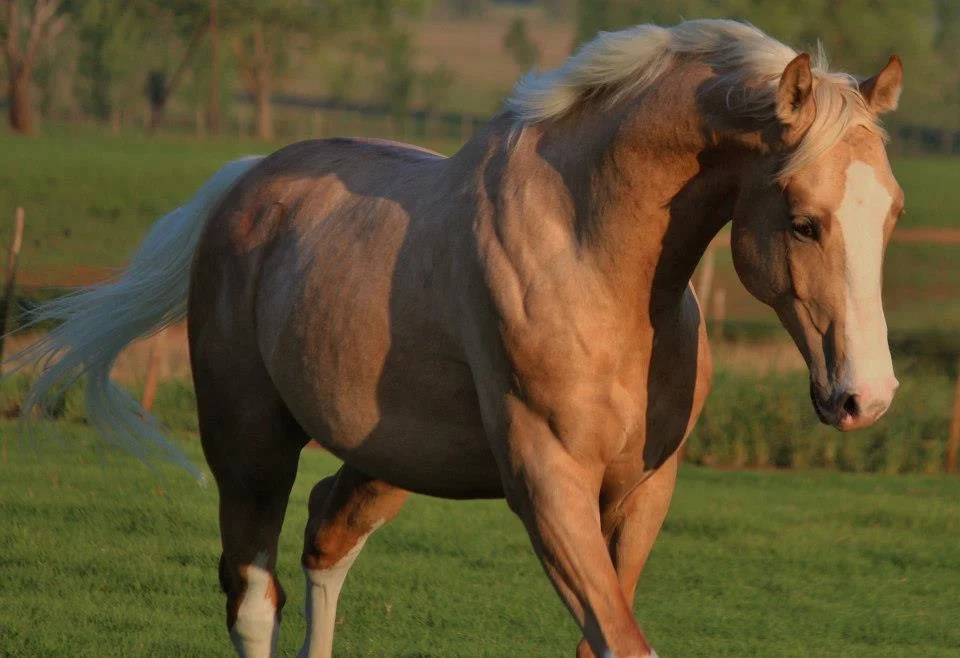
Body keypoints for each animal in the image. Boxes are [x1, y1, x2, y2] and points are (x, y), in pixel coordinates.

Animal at [16, 19, 904, 658]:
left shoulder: (643, 492)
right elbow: (622, 642)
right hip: (250, 448)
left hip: (389, 457)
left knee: (326, 537)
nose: (865, 397)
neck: (591, 259)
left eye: (893, 212)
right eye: (804, 220)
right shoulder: (548, 485)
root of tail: (245, 183)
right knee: (253, 598)